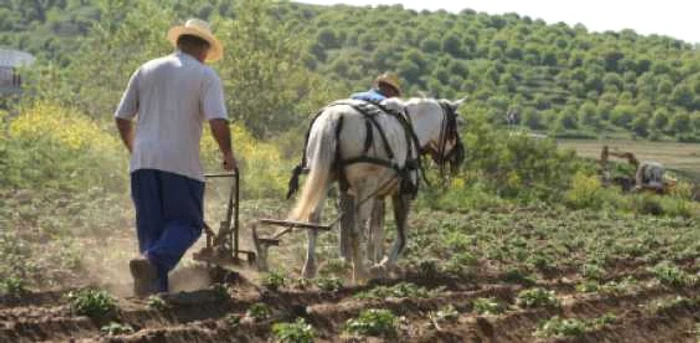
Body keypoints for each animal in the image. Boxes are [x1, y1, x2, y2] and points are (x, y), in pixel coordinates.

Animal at [284, 97, 464, 282]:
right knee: (356, 229)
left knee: (314, 218)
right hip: (365, 187)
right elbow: (402, 235)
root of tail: (336, 117)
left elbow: (378, 226)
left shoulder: (379, 194)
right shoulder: (402, 192)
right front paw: (383, 265)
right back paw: (360, 272)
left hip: (324, 177)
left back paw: (310, 269)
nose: (459, 156)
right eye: (458, 124)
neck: (411, 127)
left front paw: (377, 259)